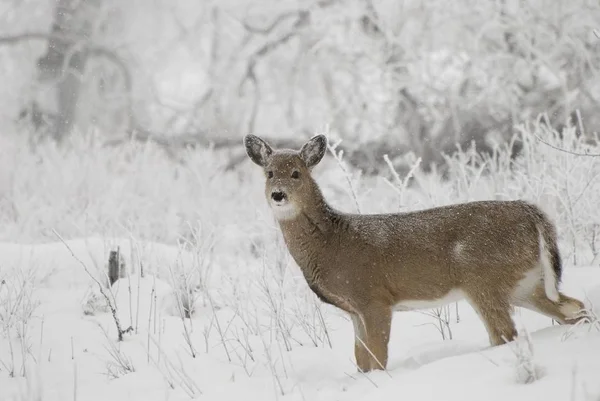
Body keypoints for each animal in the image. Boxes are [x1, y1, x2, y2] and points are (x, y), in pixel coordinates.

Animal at [243, 133, 584, 370]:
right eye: (269, 173)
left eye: (296, 173)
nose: (278, 195)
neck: (332, 243)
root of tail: (533, 214)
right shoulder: (353, 309)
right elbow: (360, 359)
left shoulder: (374, 297)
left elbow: (378, 358)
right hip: (526, 283)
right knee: (574, 308)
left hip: (484, 279)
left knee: (506, 333)